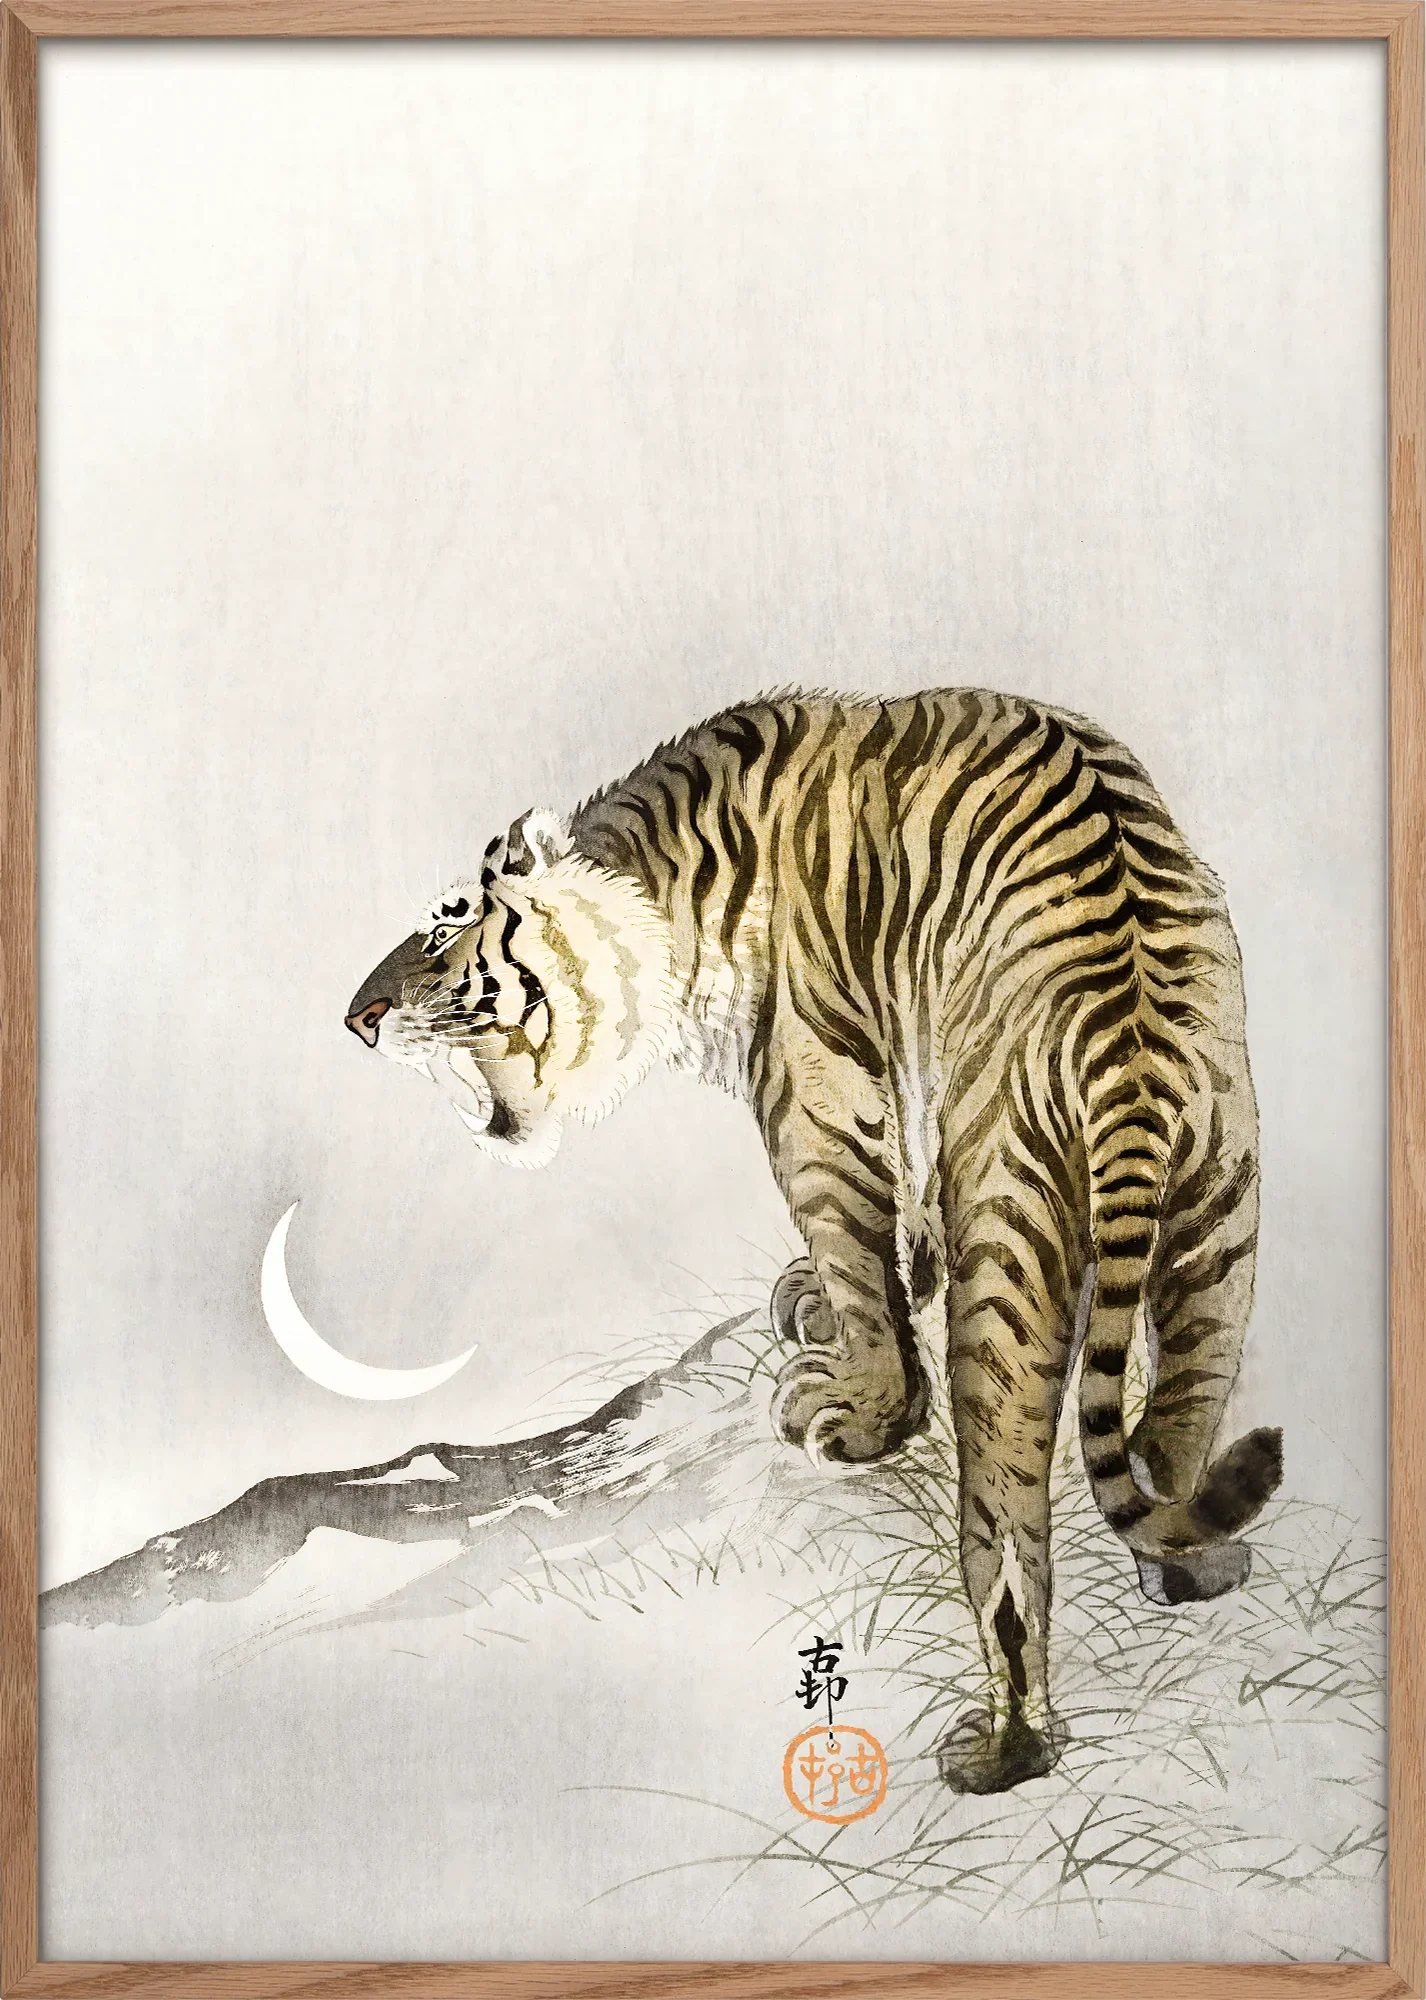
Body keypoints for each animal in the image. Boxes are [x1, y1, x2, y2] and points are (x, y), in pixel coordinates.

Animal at [345, 687, 1282, 1796]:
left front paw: (861, 1405)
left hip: (1013, 1238)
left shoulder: (812, 1090)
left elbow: (853, 1243)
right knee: (1174, 1429)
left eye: (447, 925)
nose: (356, 1016)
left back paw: (1003, 1747)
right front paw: (833, 1299)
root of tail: (1130, 1035)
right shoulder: (904, 1072)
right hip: (1219, 1214)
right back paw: (1192, 1564)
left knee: (1008, 1533)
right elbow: (899, 1219)